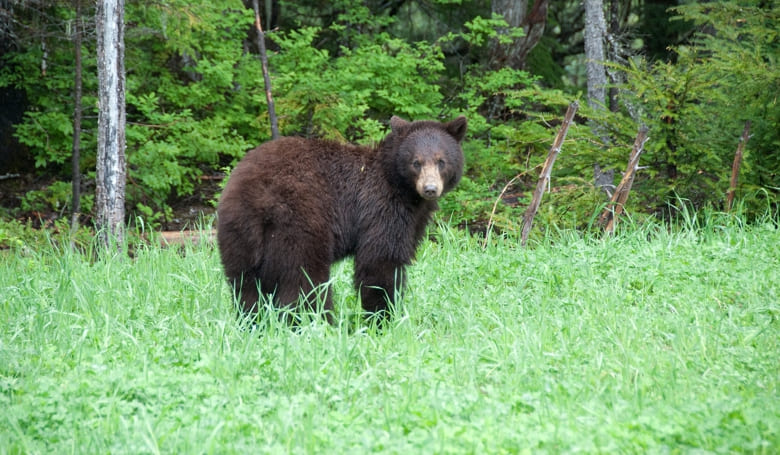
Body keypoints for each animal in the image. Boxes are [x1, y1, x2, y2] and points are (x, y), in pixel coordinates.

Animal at [216, 115, 466, 320]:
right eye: (416, 162)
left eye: (441, 161)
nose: (430, 189)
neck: (401, 186)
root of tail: (257, 196)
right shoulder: (381, 207)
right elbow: (380, 262)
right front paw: (382, 317)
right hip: (299, 222)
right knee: (305, 281)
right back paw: (317, 323)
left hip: (238, 233)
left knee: (245, 285)